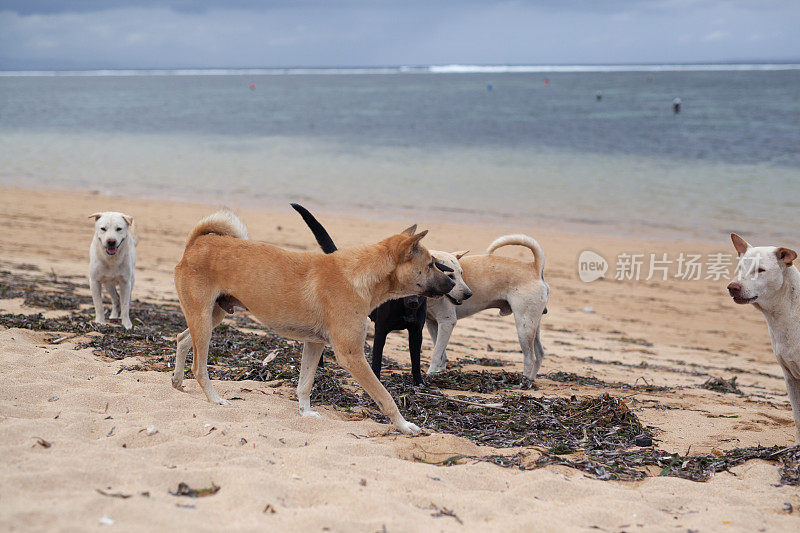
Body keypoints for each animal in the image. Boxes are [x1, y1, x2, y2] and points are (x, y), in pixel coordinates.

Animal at [290, 205, 434, 386]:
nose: (413, 302)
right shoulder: (381, 331)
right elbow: (377, 359)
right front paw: (377, 379)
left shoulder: (416, 333)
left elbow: (416, 360)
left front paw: (419, 382)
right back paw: (320, 366)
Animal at [424, 233, 552, 378]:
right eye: (450, 275)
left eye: (461, 274)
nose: (469, 294)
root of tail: (535, 267)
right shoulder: (432, 323)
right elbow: (441, 353)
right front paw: (439, 372)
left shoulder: (447, 323)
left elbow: (436, 354)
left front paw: (430, 374)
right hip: (533, 324)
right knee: (540, 354)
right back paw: (531, 380)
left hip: (524, 327)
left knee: (530, 358)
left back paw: (524, 380)